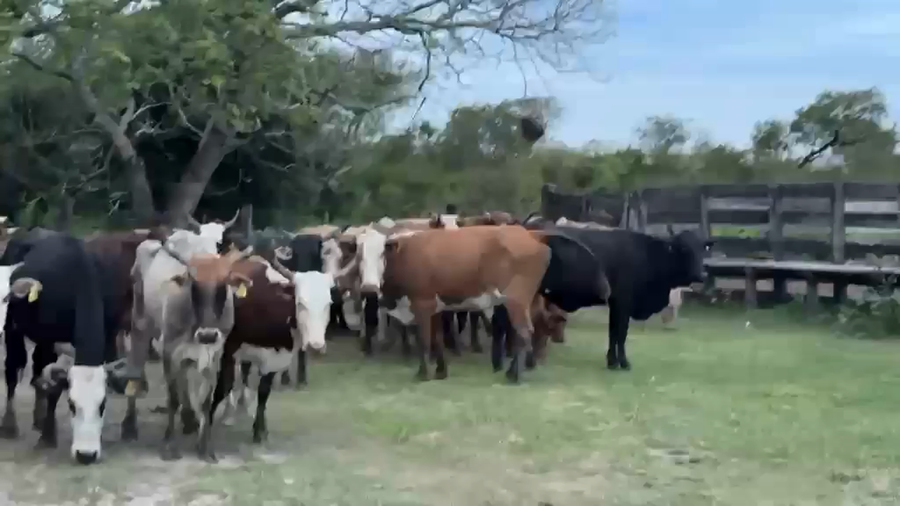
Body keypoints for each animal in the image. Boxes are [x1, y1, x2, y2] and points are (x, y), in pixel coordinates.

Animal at [0, 233, 127, 464]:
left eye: (102, 405)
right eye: (71, 404)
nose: (86, 455)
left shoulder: (109, 336)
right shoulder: (49, 339)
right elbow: (54, 386)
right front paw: (48, 437)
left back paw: (39, 418)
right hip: (13, 327)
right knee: (15, 368)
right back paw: (9, 425)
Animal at [216, 256, 333, 437]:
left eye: (328, 304)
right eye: (300, 303)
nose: (316, 346)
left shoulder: (275, 358)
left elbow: (264, 393)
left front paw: (260, 430)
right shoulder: (229, 350)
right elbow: (226, 383)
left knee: (245, 372)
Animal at [356, 224, 608, 382]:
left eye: (382, 254)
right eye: (359, 256)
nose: (368, 287)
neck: (405, 255)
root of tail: (529, 234)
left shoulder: (422, 304)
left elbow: (424, 340)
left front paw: (422, 374)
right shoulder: (435, 308)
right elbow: (437, 340)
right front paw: (441, 372)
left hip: (516, 300)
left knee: (524, 332)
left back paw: (513, 375)